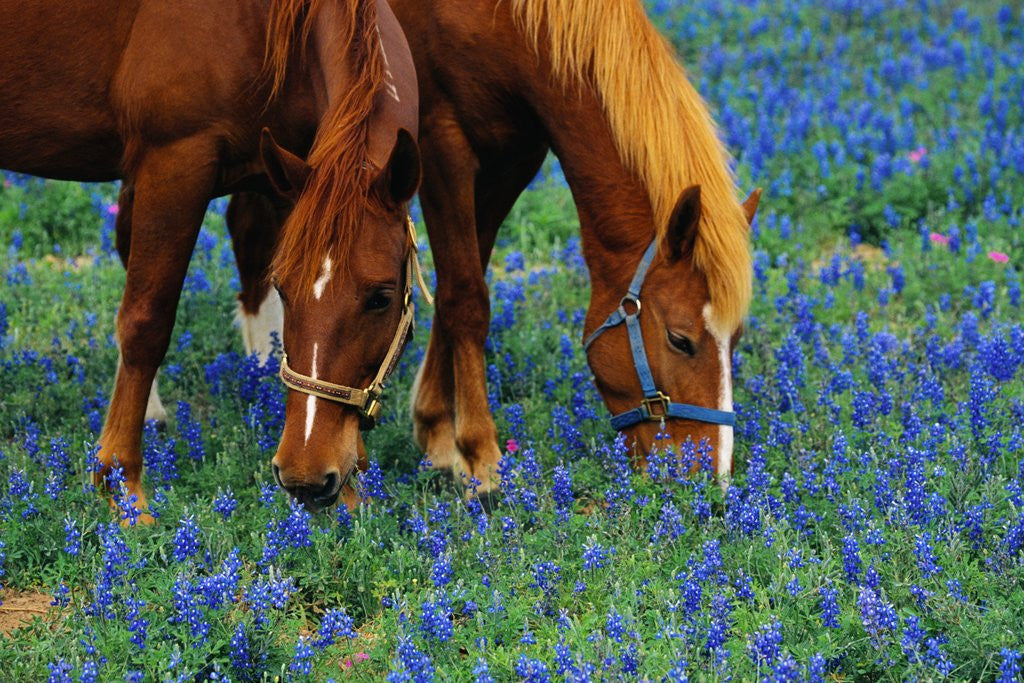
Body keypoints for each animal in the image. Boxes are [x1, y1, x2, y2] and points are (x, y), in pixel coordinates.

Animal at [0, 0, 421, 519]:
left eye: (382, 298)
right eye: (285, 290)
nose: (304, 476)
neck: (264, 25)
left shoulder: (287, 176)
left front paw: (354, 487)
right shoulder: (175, 163)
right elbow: (145, 323)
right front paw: (121, 487)